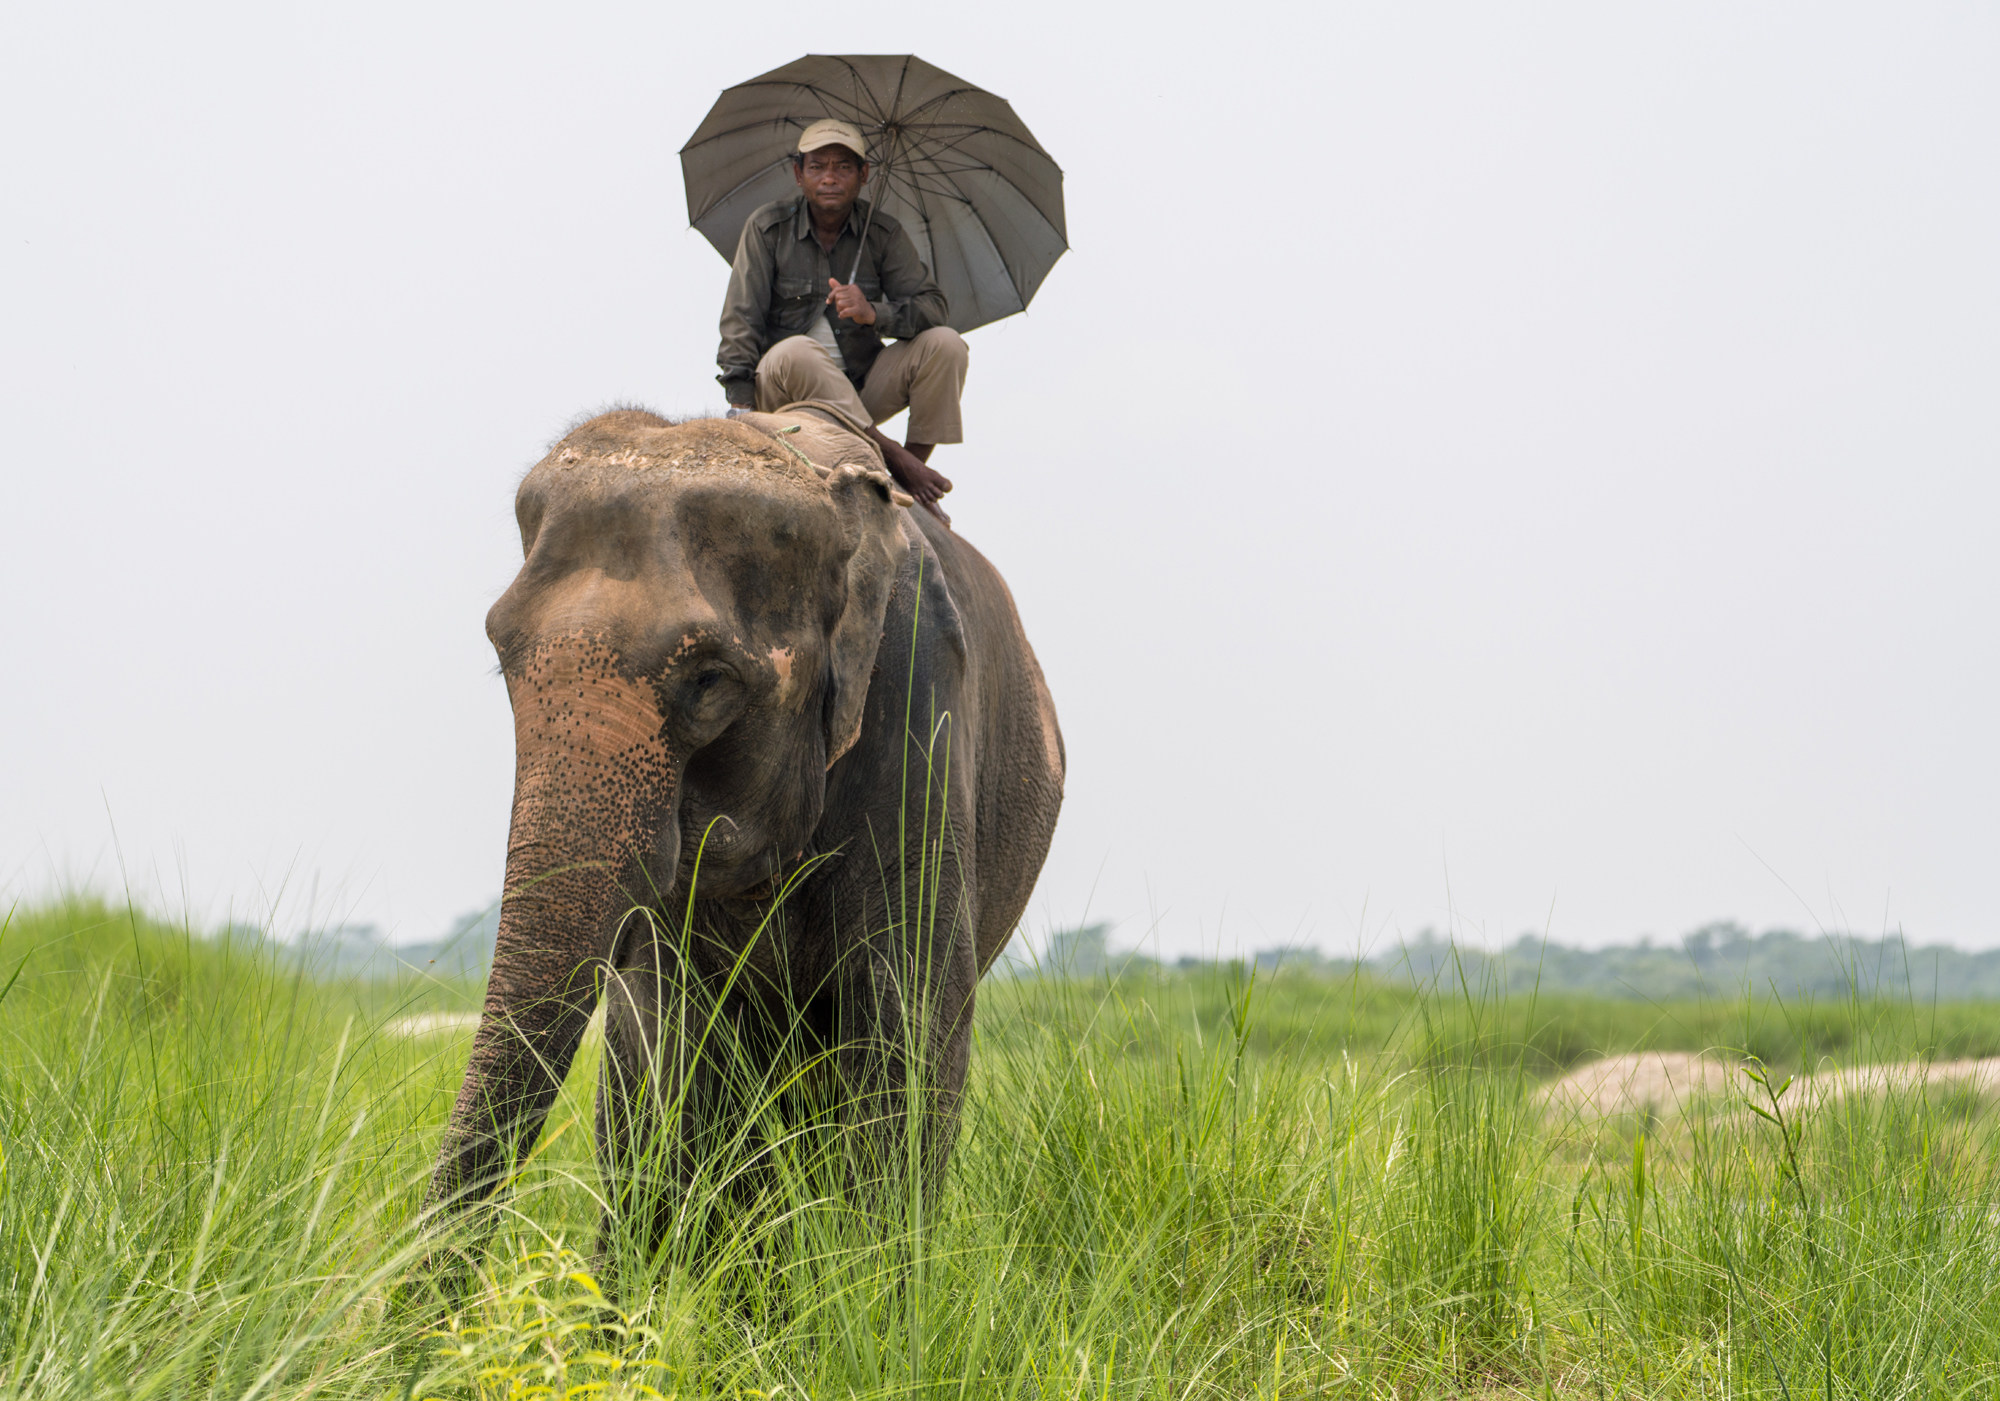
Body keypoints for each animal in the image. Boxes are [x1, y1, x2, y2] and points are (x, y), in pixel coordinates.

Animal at [422, 404, 1064, 1272]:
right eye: (501, 657)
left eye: (708, 680)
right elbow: (669, 1041)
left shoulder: (917, 701)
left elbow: (907, 1024)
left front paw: (868, 1296)